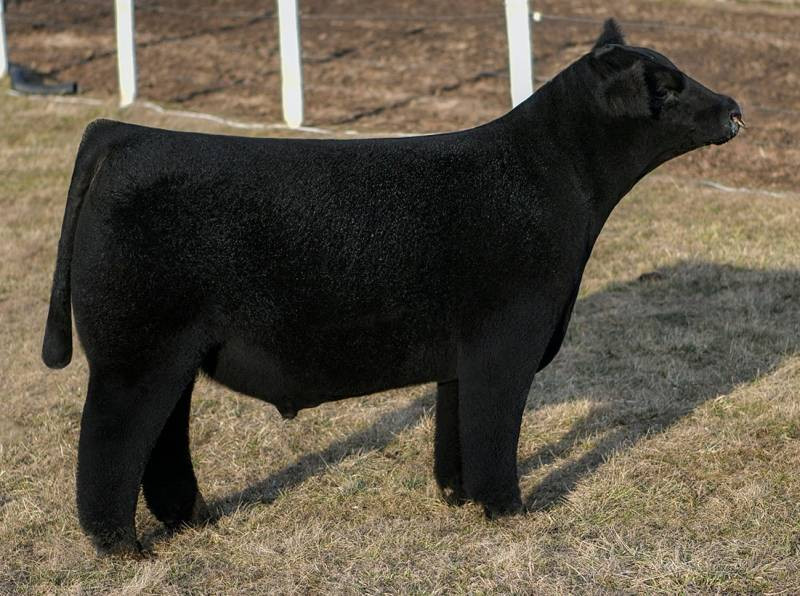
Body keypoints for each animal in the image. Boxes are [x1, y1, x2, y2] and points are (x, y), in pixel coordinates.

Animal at [42, 19, 743, 556]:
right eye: (668, 87)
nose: (734, 107)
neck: (549, 178)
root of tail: (127, 134)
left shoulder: (464, 355)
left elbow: (456, 430)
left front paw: (457, 498)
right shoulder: (508, 341)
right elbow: (494, 431)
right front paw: (509, 511)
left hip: (173, 355)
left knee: (163, 441)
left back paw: (193, 520)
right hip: (135, 354)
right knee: (109, 444)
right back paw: (123, 549)